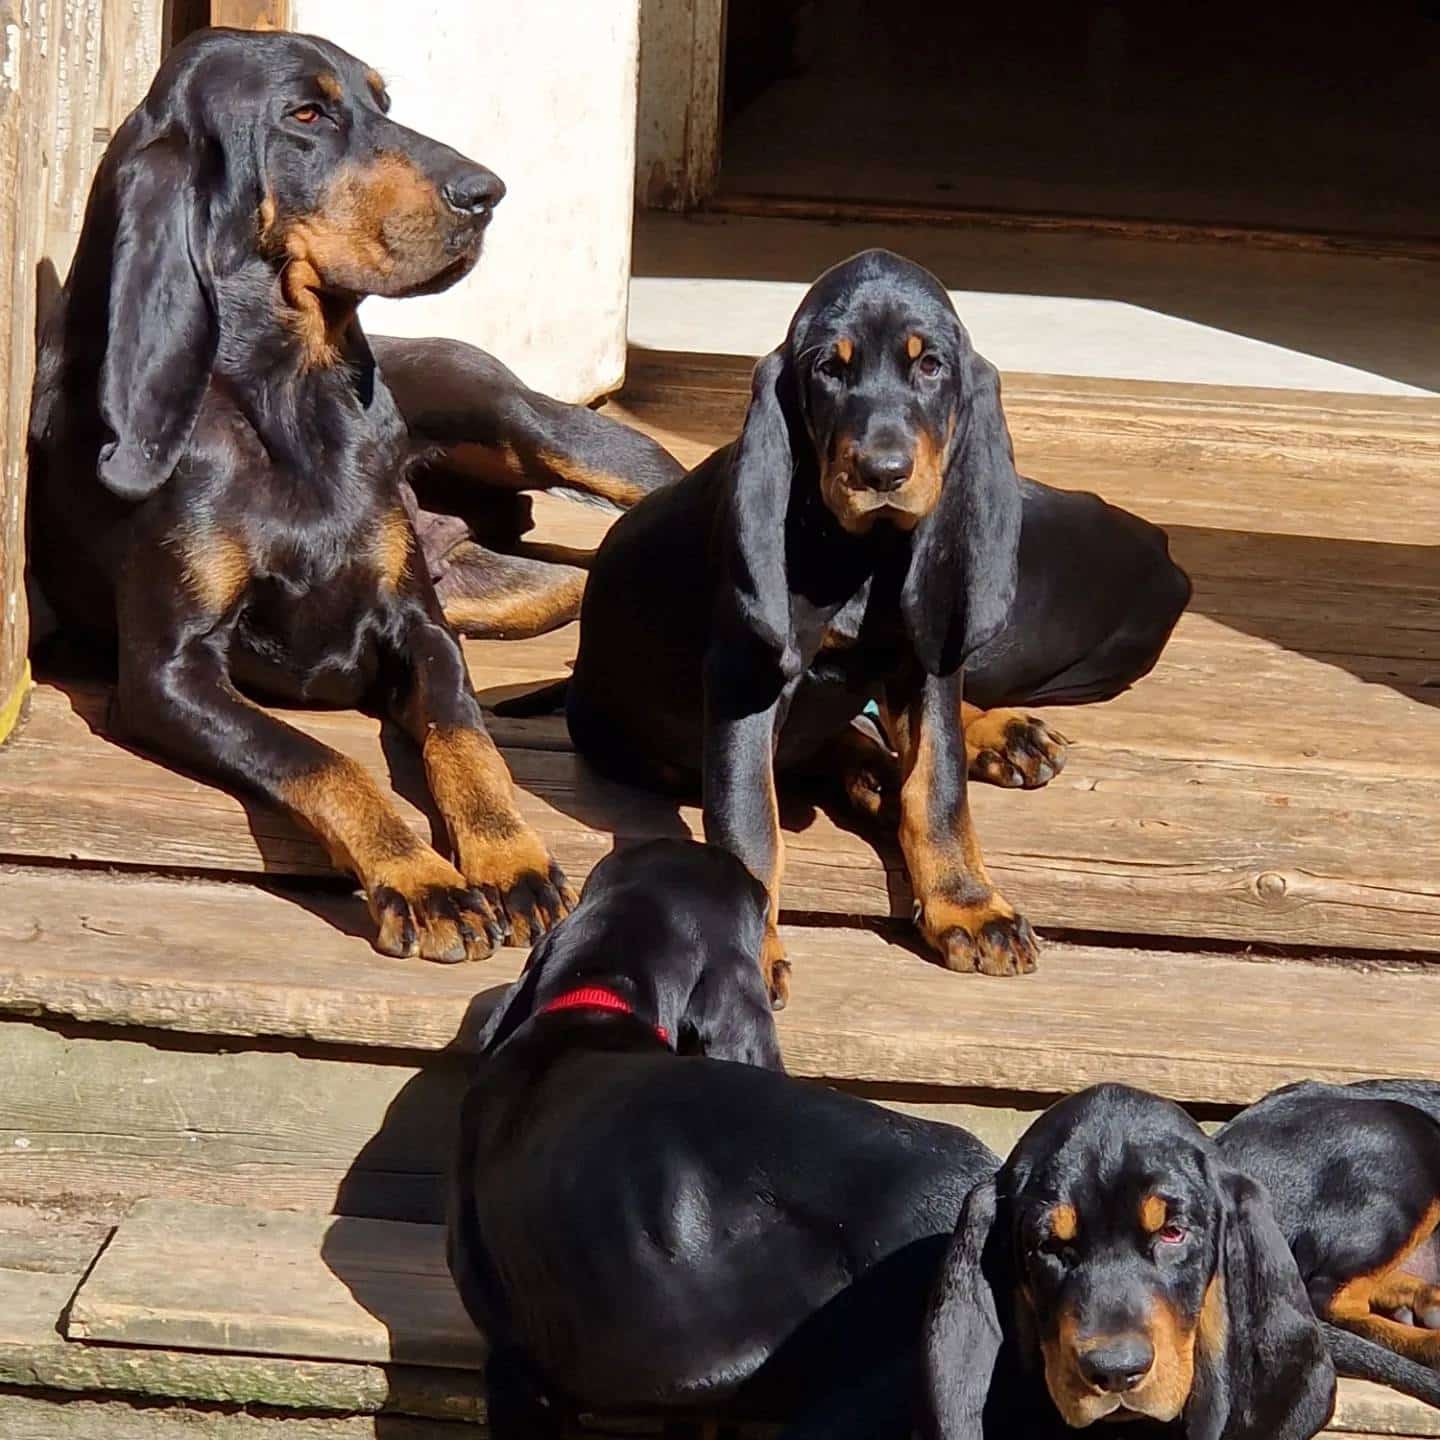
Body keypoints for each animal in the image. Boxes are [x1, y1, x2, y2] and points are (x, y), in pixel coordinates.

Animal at [26, 25, 653, 956]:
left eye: (382, 102)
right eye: (305, 115)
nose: (488, 193)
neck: (285, 398)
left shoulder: (423, 628)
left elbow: (465, 738)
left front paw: (510, 858)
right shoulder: (168, 672)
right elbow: (322, 759)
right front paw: (424, 881)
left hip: (538, 432)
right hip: (511, 592)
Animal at [561, 247, 1192, 1002]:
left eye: (932, 366)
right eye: (829, 371)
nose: (883, 471)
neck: (863, 553)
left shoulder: (928, 660)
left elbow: (940, 787)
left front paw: (968, 906)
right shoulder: (745, 679)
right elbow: (750, 821)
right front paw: (749, 946)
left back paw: (975, 743)